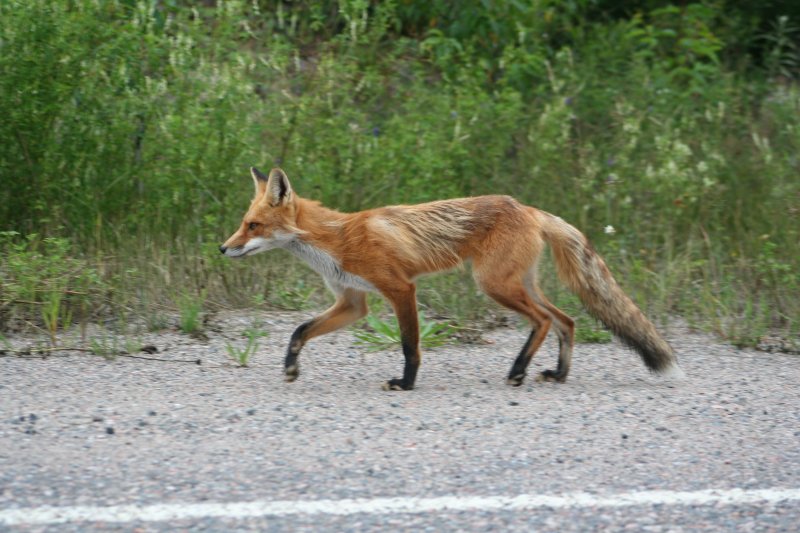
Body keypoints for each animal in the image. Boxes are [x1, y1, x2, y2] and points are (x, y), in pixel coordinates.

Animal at [220, 167, 680, 390]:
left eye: (253, 225)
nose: (223, 249)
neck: (335, 239)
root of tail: (529, 208)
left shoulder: (400, 288)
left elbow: (410, 346)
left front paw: (406, 384)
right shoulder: (352, 303)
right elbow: (299, 330)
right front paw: (291, 367)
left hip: (494, 285)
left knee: (545, 321)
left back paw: (518, 371)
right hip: (520, 284)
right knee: (566, 320)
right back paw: (557, 374)